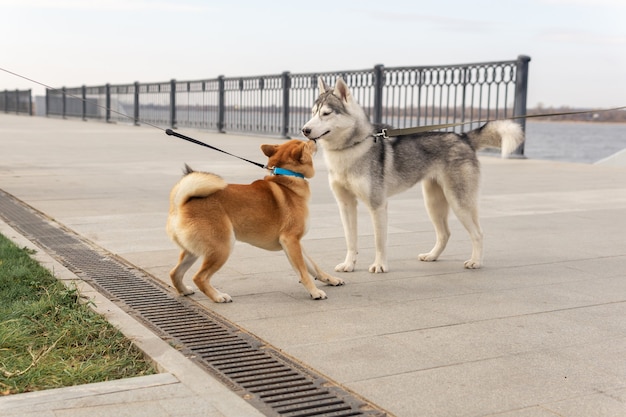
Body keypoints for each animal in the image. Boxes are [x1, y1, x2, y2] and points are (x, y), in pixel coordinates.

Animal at [166, 140, 342, 302]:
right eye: (305, 143)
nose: (312, 138)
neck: (286, 177)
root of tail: (181, 203)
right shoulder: (290, 240)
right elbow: (303, 271)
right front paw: (314, 292)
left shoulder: (295, 244)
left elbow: (313, 266)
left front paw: (330, 279)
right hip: (222, 247)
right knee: (199, 277)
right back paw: (218, 296)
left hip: (194, 251)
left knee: (175, 273)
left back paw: (184, 290)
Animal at [302, 77, 520, 272]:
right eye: (312, 113)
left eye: (326, 113)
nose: (305, 129)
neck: (351, 148)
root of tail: (462, 137)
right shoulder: (346, 205)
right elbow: (350, 240)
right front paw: (349, 265)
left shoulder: (378, 205)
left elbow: (379, 241)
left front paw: (380, 265)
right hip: (433, 203)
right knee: (445, 234)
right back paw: (432, 256)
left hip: (459, 203)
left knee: (478, 233)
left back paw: (476, 261)